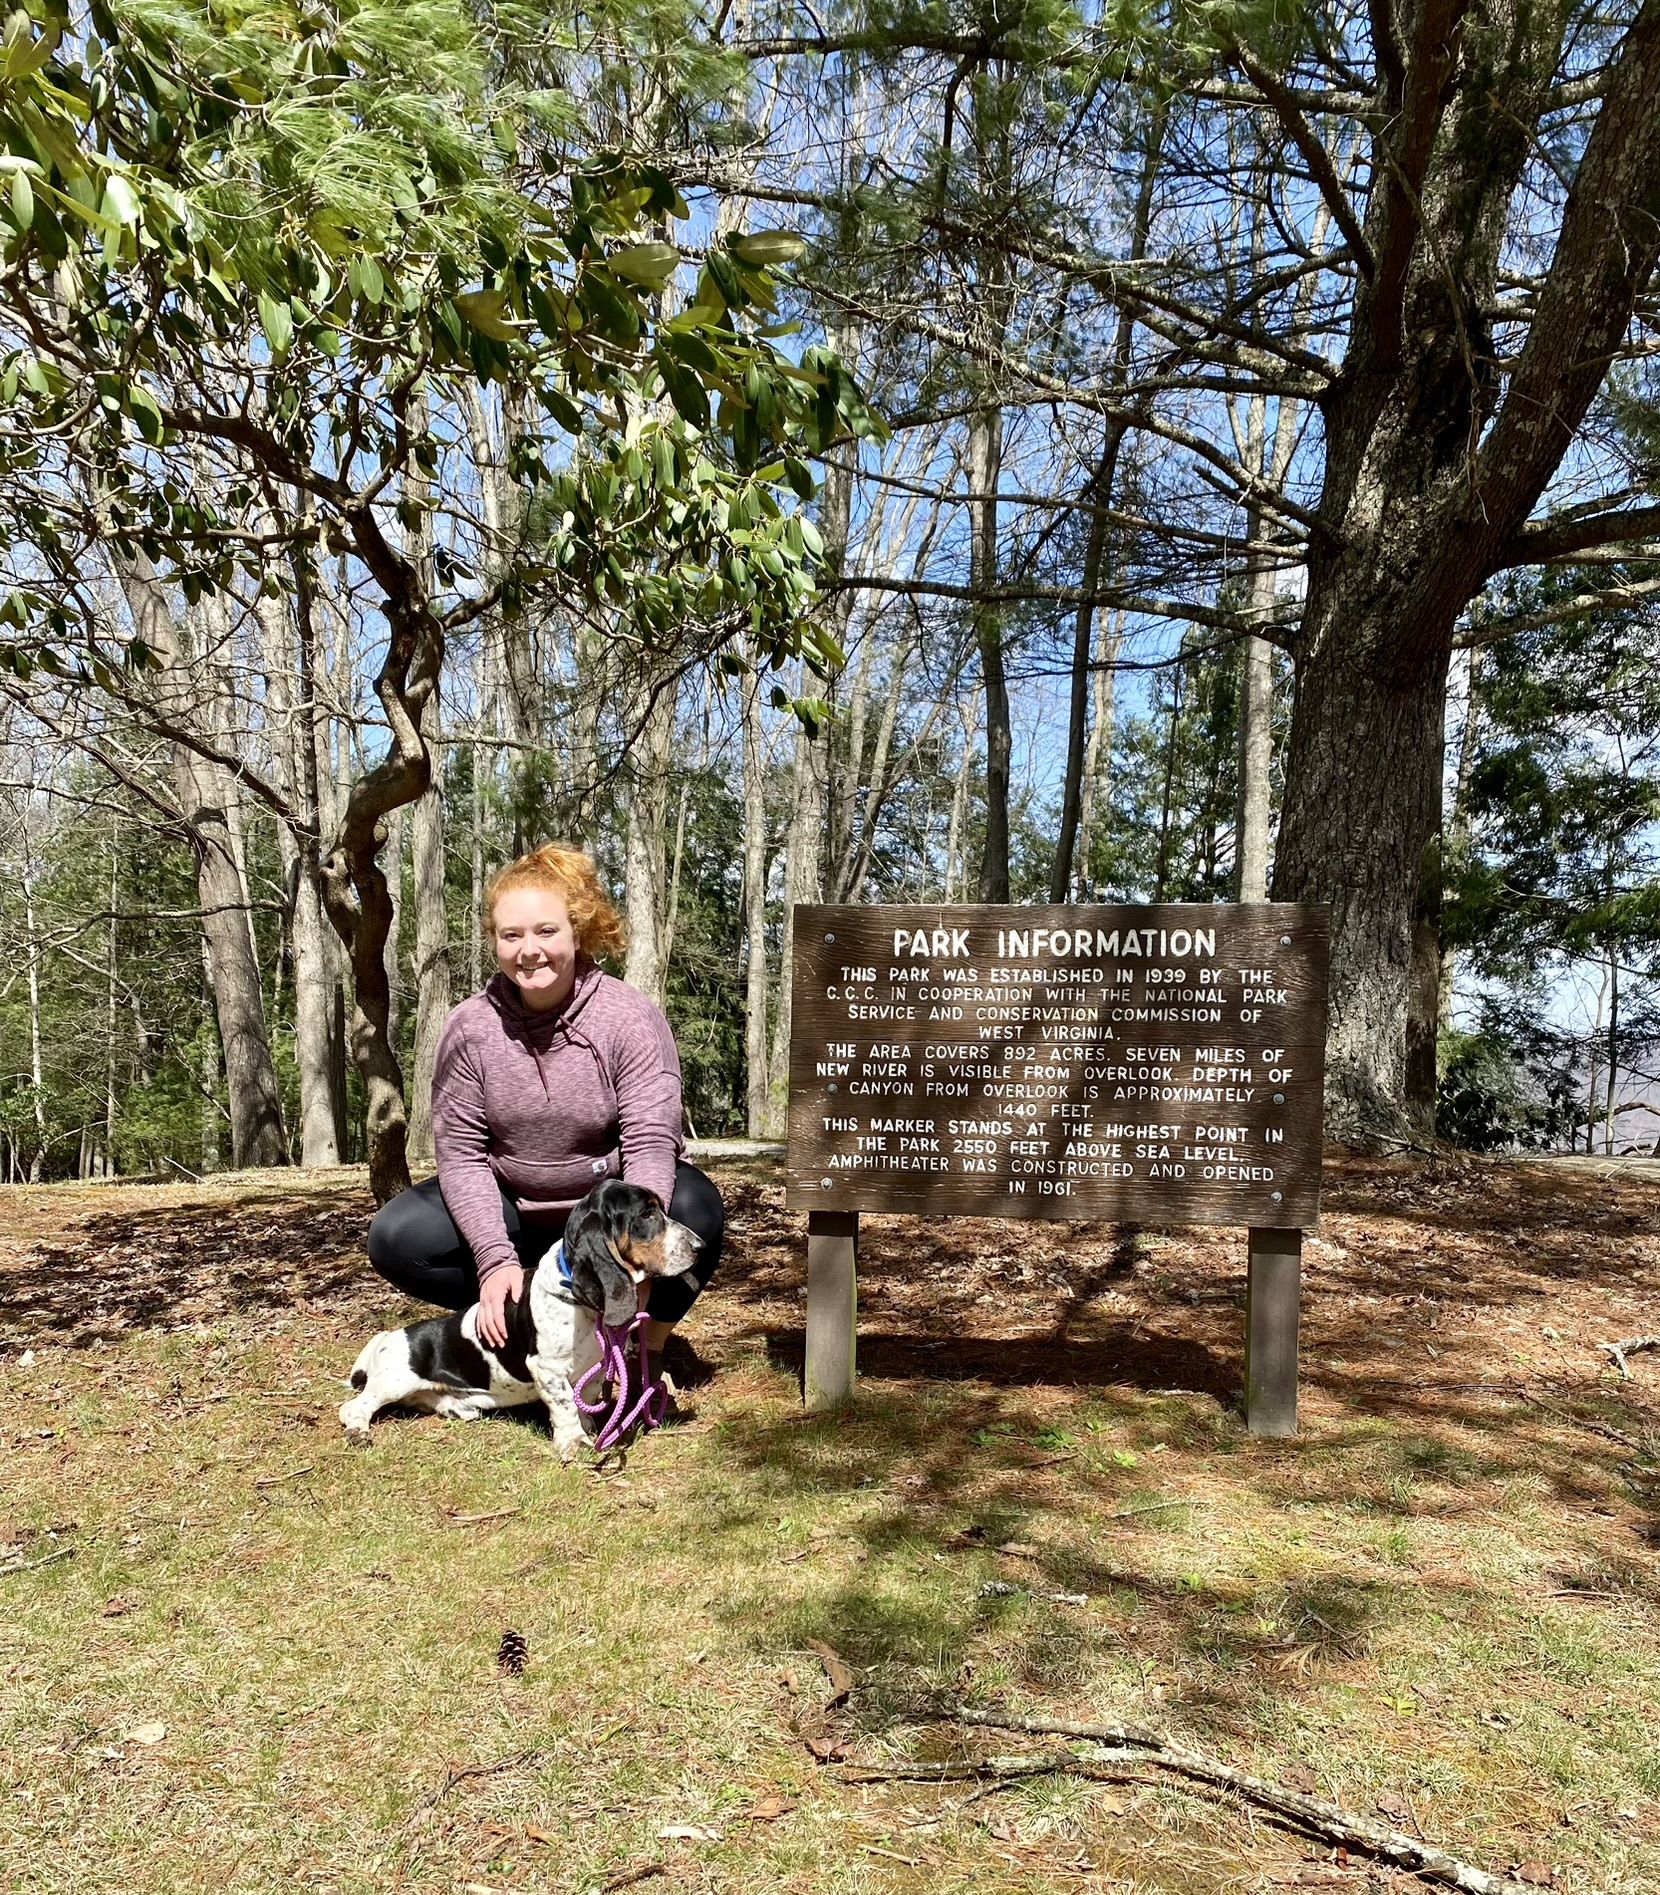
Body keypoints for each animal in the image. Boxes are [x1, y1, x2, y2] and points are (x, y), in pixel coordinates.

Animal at [339, 1179, 701, 1461]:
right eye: (647, 1214)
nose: (700, 1245)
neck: (576, 1302)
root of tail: (390, 1335)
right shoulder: (547, 1369)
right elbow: (566, 1405)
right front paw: (575, 1444)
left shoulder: (595, 1369)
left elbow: (583, 1402)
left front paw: (587, 1431)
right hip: (394, 1381)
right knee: (354, 1407)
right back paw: (358, 1432)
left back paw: (455, 1408)